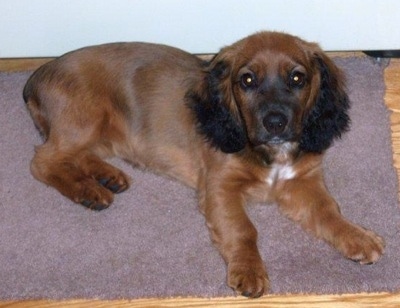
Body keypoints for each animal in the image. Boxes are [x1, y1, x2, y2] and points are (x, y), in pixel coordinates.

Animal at [22, 31, 384, 298]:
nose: (276, 123)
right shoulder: (220, 186)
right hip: (85, 118)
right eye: (247, 80)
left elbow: (329, 211)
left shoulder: (303, 181)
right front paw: (249, 270)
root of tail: (36, 75)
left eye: (297, 78)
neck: (269, 152)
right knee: (43, 161)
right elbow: (243, 230)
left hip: (103, 131)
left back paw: (106, 177)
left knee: (75, 155)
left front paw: (357, 237)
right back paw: (87, 190)